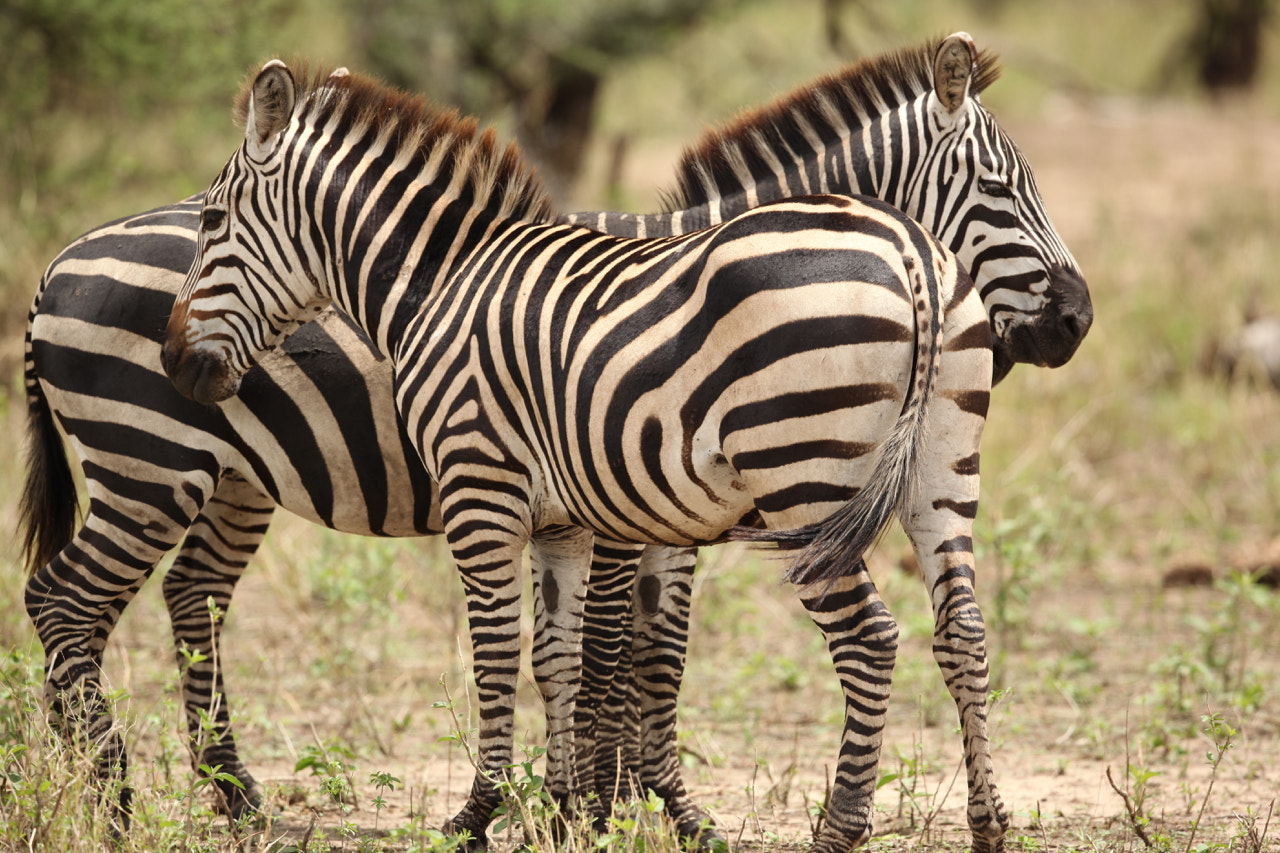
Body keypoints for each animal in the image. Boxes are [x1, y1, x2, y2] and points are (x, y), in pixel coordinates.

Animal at [18, 32, 1088, 844]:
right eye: (1005, 190)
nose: (1077, 321)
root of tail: (59, 260)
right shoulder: (612, 512)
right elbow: (600, 655)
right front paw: (604, 806)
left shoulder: (604, 509)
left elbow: (607, 654)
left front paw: (603, 807)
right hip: (152, 462)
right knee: (77, 603)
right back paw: (111, 799)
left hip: (209, 476)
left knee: (159, 600)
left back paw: (180, 799)